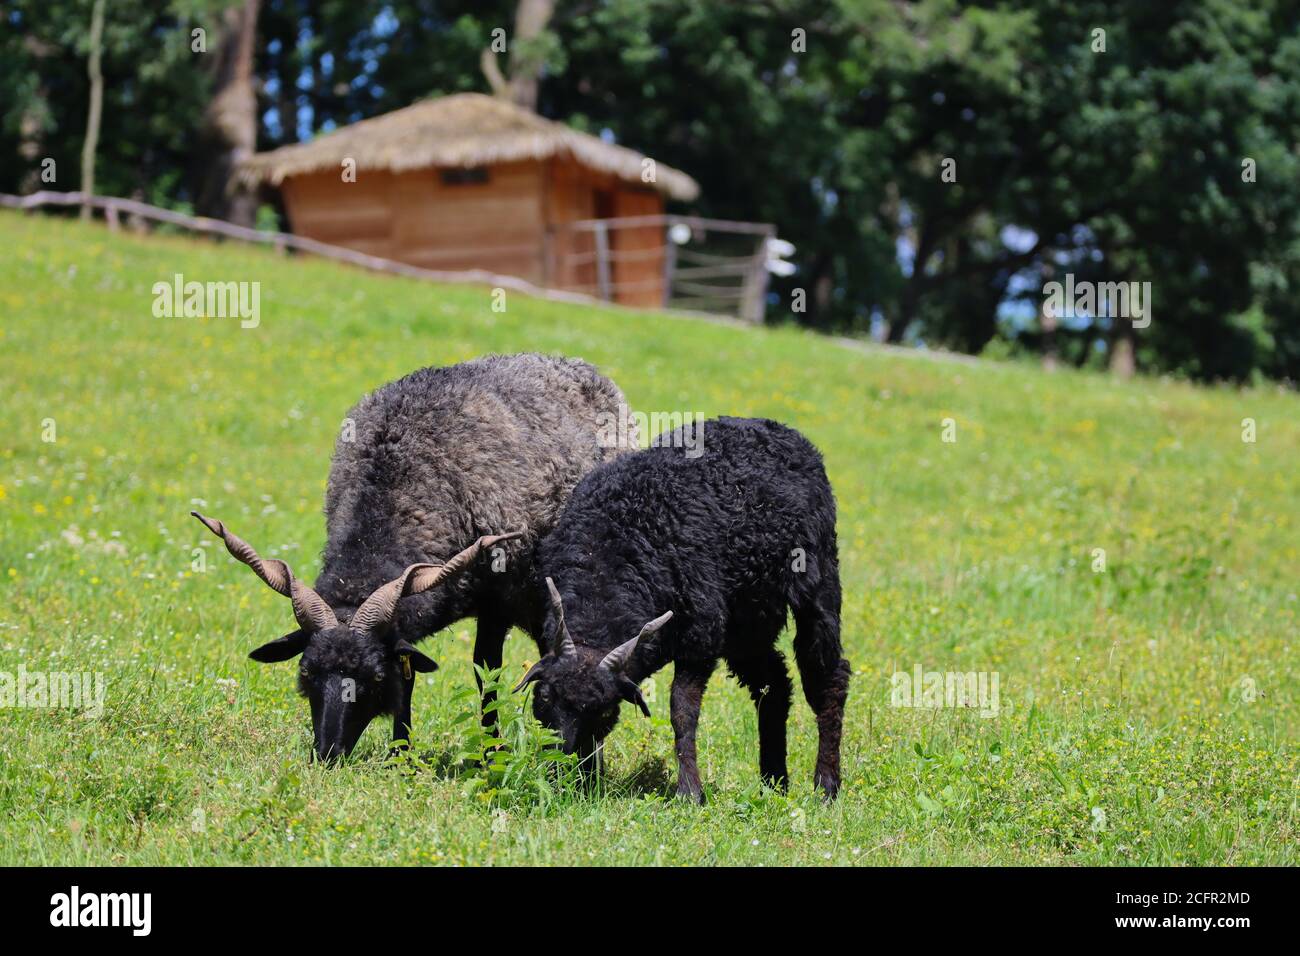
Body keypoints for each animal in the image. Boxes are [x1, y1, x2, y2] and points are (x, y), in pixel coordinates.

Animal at [517, 416, 852, 801]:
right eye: (543, 698)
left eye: (605, 712)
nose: (561, 772)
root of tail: (777, 428)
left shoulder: (700, 639)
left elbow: (682, 711)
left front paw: (690, 791)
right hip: (746, 625)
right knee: (774, 686)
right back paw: (773, 782)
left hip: (818, 584)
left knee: (828, 679)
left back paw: (826, 785)